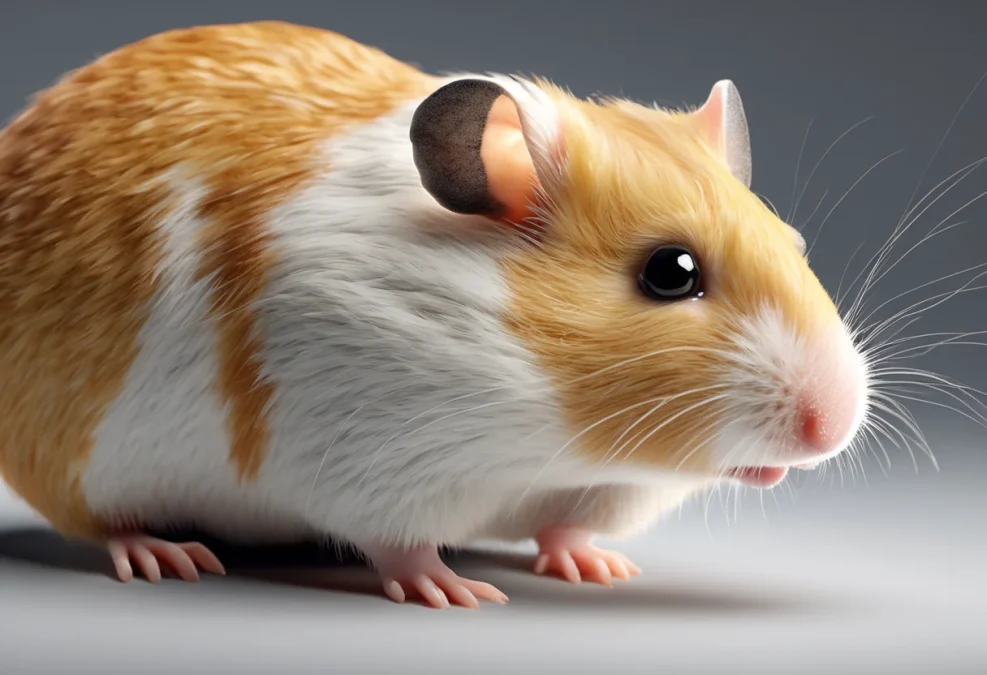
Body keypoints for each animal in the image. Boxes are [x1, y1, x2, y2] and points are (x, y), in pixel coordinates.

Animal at [0, 21, 870, 609]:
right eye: (670, 272)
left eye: (794, 245)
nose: (832, 427)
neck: (544, 438)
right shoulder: (365, 456)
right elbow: (398, 547)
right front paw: (456, 592)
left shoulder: (587, 489)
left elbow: (563, 529)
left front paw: (598, 568)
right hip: (77, 462)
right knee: (104, 523)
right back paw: (166, 554)